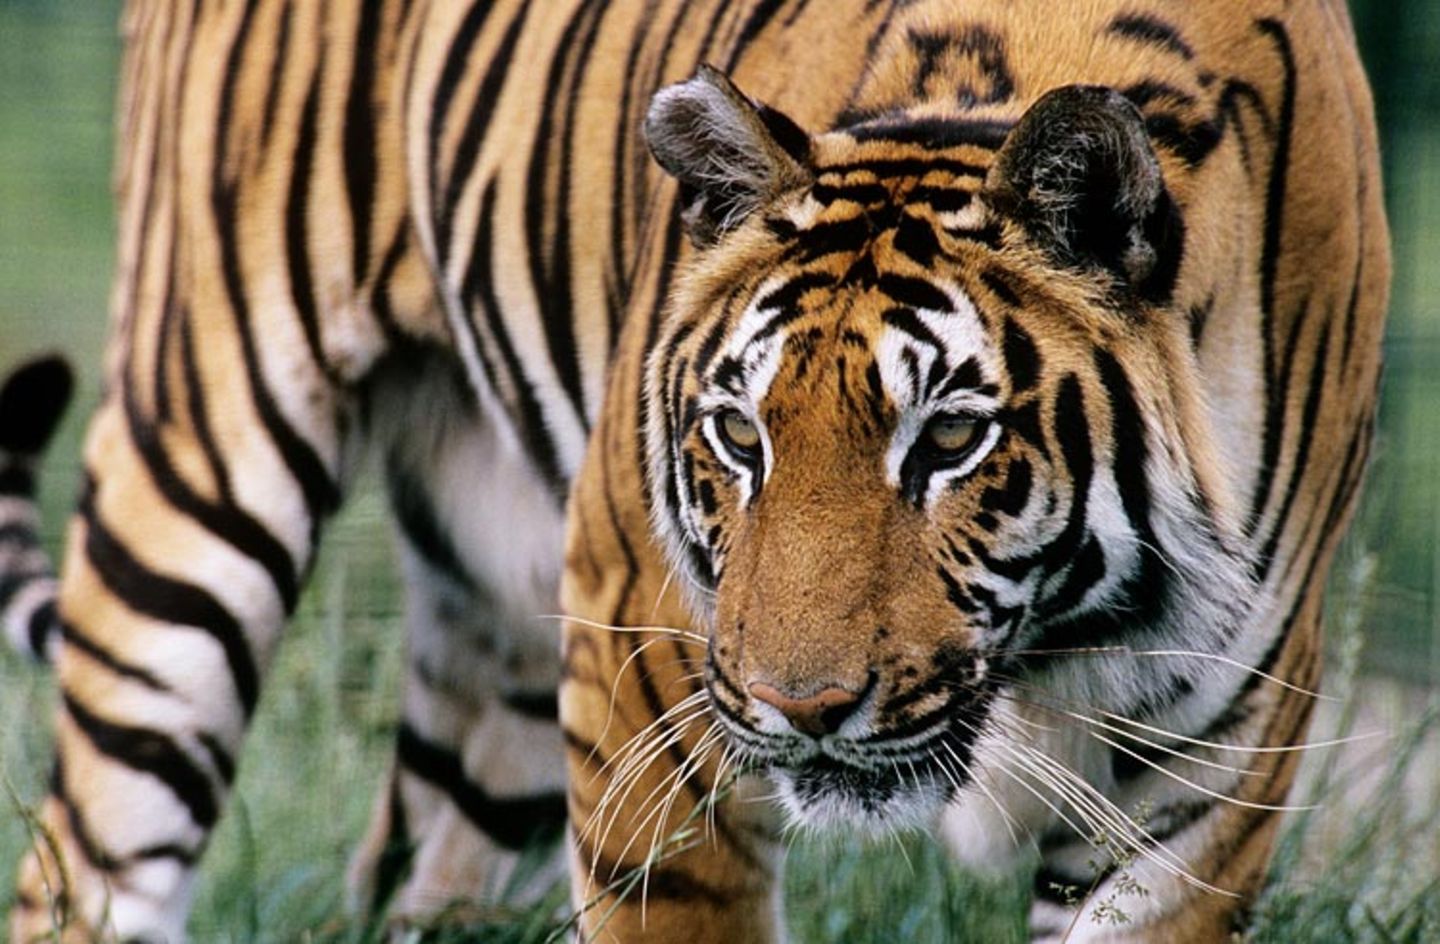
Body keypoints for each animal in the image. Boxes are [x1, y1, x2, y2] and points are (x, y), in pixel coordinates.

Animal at [5, 0, 1387, 941]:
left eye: (949, 439)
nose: (800, 708)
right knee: (82, 854)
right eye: (739, 433)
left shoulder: (1210, 767)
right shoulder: (647, 654)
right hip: (201, 445)